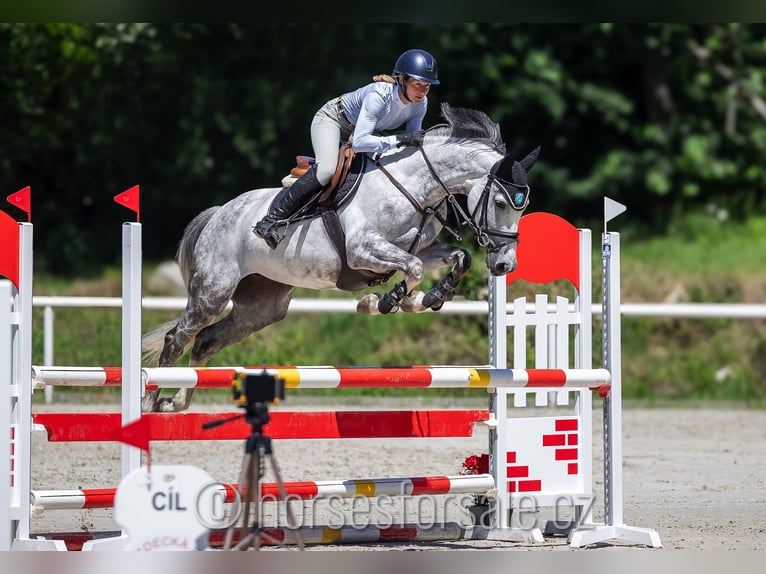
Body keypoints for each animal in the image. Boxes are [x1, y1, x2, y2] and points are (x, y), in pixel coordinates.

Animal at [142, 104, 540, 414]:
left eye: (524, 207)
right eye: (501, 202)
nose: (505, 266)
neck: (415, 185)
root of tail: (218, 213)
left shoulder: (423, 250)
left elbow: (458, 258)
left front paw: (426, 299)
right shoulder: (363, 249)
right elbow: (409, 270)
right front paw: (386, 301)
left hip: (261, 307)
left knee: (206, 341)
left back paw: (176, 402)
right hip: (213, 292)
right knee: (177, 338)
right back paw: (150, 402)